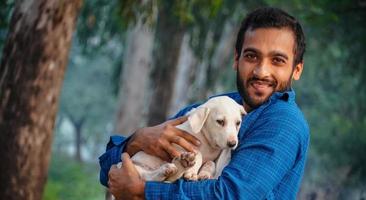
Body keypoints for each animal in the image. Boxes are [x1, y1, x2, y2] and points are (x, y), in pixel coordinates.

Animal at [118, 96, 246, 182]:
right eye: (220, 121)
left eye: (238, 123)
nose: (232, 144)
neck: (207, 141)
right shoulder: (177, 145)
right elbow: (198, 153)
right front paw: (192, 172)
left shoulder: (212, 158)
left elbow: (210, 163)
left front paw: (204, 174)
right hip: (128, 166)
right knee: (148, 177)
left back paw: (173, 167)